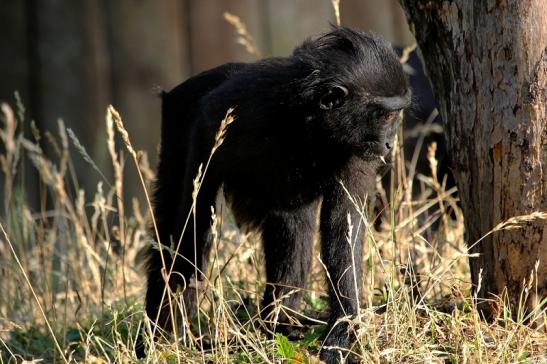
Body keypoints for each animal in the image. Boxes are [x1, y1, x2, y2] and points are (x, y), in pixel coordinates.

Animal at [143, 27, 408, 362]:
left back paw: (279, 325)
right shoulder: (221, 121)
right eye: (386, 117)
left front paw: (341, 335)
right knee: (174, 219)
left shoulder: (356, 156)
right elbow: (194, 218)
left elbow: (343, 230)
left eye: (396, 115)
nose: (390, 144)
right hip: (176, 119)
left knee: (292, 223)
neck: (310, 122)